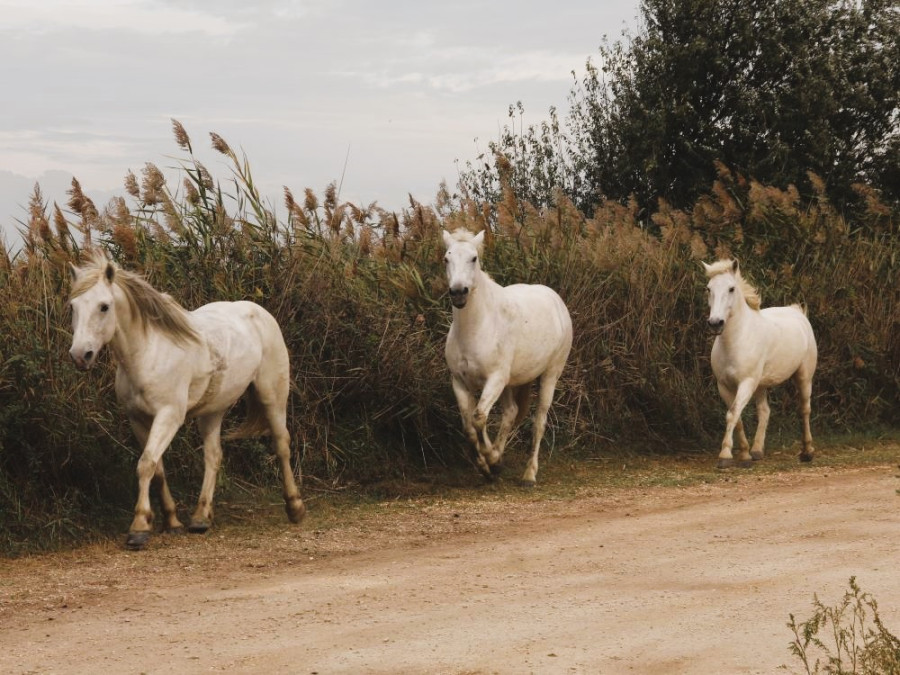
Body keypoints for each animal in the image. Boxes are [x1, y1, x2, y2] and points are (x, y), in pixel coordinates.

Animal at [67, 252, 306, 548]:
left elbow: (146, 464)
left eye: (104, 306)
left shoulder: (169, 416)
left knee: (281, 445)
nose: (80, 355)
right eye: (73, 306)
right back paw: (201, 517)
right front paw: (171, 521)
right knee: (213, 456)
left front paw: (139, 527)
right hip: (213, 410)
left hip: (272, 395)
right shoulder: (138, 419)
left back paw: (295, 507)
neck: (148, 352)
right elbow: (157, 469)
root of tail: (260, 312)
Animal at [442, 230, 568, 484]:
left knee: (539, 422)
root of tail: (556, 300)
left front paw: (489, 458)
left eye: (473, 258)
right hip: (512, 382)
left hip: (550, 375)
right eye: (446, 259)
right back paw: (499, 458)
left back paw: (529, 474)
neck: (477, 326)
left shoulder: (495, 379)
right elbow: (469, 427)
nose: (459, 292)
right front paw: (487, 465)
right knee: (511, 413)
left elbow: (479, 417)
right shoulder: (459, 382)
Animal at [704, 260, 816, 470]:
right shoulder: (724, 386)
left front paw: (725, 455)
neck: (737, 340)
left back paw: (807, 452)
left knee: (804, 409)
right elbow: (737, 417)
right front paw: (745, 455)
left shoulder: (746, 383)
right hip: (761, 385)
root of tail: (797, 312)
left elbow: (732, 414)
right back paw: (756, 451)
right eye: (708, 289)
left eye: (731, 288)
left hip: (804, 377)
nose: (715, 323)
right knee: (765, 411)